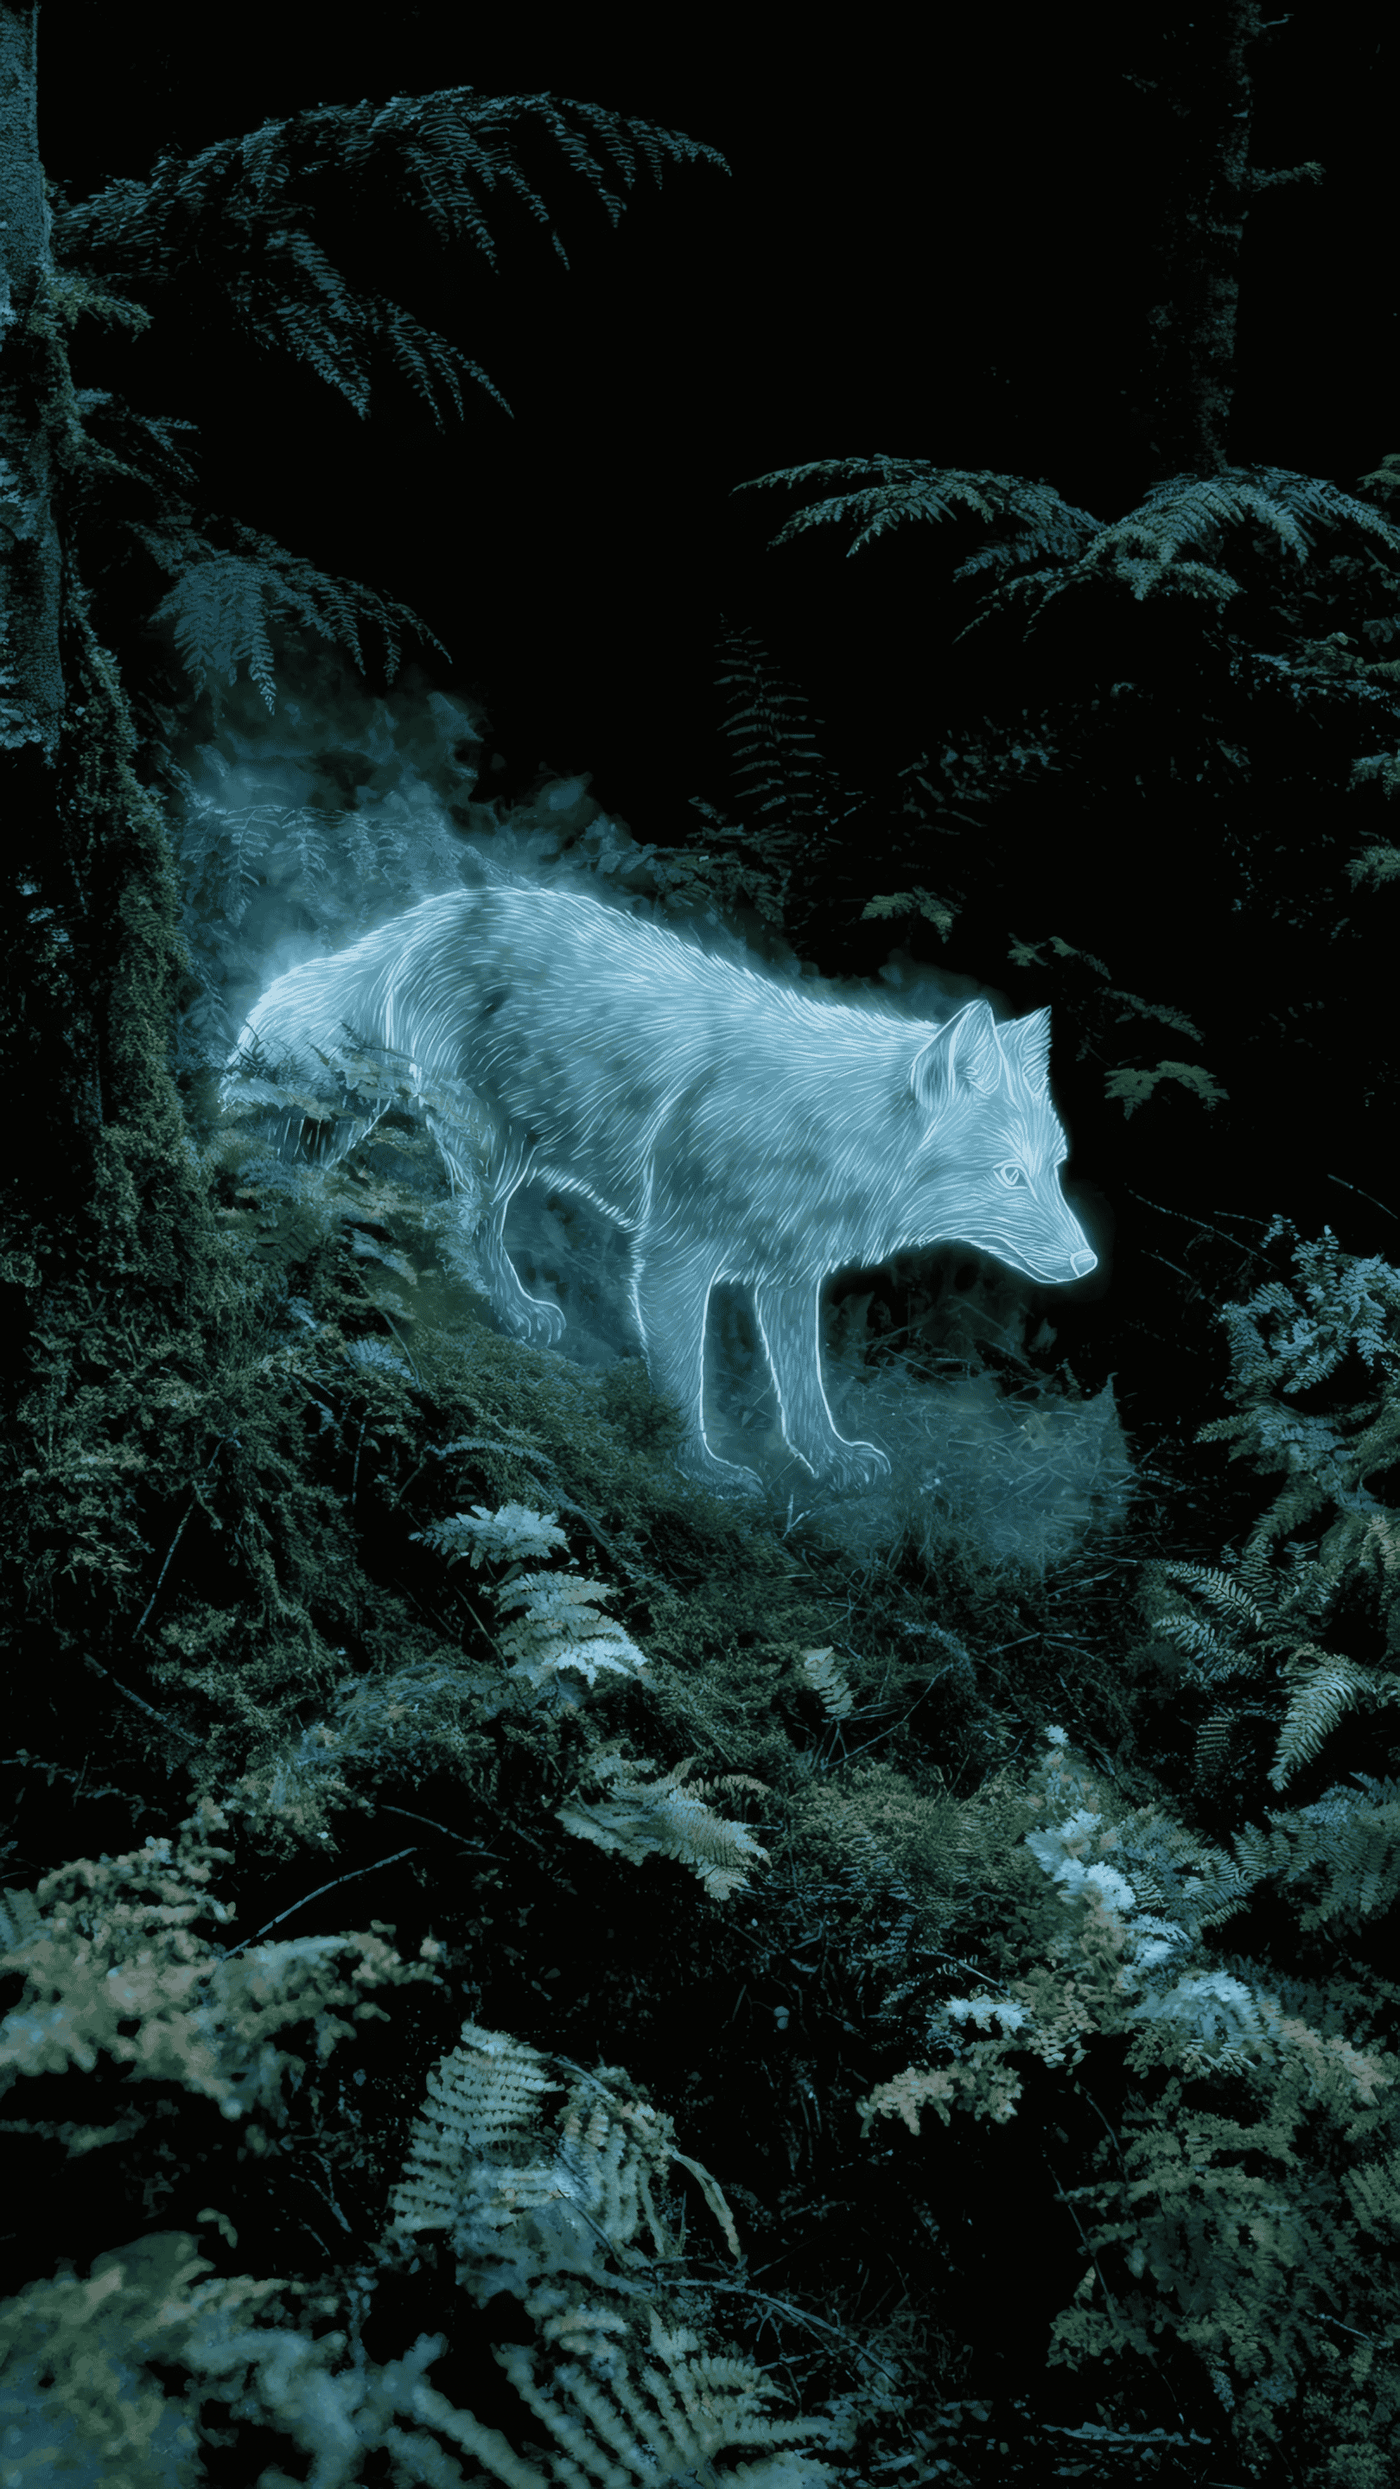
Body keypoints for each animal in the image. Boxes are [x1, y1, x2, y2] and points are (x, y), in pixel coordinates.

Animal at [222, 883, 1097, 1496]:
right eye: (1009, 1174)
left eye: (1054, 1167)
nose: (1089, 1265)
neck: (827, 1133)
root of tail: (425, 915)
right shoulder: (671, 1261)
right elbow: (685, 1383)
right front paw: (701, 1471)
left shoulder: (788, 1277)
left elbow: (803, 1387)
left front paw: (828, 1460)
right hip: (495, 1151)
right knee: (461, 1226)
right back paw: (511, 1311)